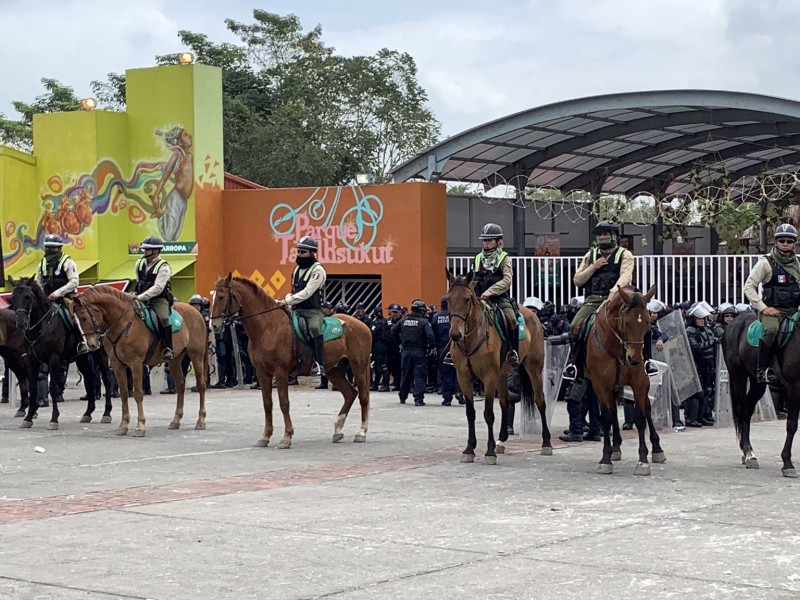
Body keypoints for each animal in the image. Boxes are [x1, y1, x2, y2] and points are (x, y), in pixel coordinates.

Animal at [72, 286, 209, 436]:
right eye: (75, 321)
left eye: (84, 318)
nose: (90, 345)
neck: (123, 324)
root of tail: (196, 312)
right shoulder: (117, 365)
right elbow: (124, 393)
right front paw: (123, 425)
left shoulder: (136, 363)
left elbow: (138, 393)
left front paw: (140, 426)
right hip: (175, 360)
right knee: (180, 384)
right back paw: (175, 420)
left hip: (196, 355)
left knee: (201, 385)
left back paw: (201, 420)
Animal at [212, 274, 376, 448]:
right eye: (214, 296)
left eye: (221, 297)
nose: (214, 325)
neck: (268, 327)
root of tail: (362, 325)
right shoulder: (262, 373)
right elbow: (267, 403)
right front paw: (265, 436)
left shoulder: (281, 372)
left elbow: (284, 403)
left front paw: (286, 437)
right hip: (333, 370)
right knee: (350, 394)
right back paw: (338, 430)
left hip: (359, 367)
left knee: (363, 397)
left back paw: (361, 432)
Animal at [444, 270, 552, 464]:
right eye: (448, 299)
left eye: (467, 299)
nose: (455, 335)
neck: (472, 340)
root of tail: (532, 315)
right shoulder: (463, 377)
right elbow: (470, 412)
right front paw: (469, 449)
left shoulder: (489, 378)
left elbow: (488, 413)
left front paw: (488, 452)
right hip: (502, 375)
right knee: (505, 402)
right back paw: (501, 440)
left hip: (534, 369)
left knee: (540, 401)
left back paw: (546, 443)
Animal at [580, 284, 664, 476]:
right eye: (626, 322)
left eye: (647, 322)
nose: (634, 359)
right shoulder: (600, 385)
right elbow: (606, 418)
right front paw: (605, 458)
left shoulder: (639, 382)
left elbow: (640, 417)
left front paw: (643, 461)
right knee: (611, 412)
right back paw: (615, 448)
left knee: (647, 409)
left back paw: (657, 449)